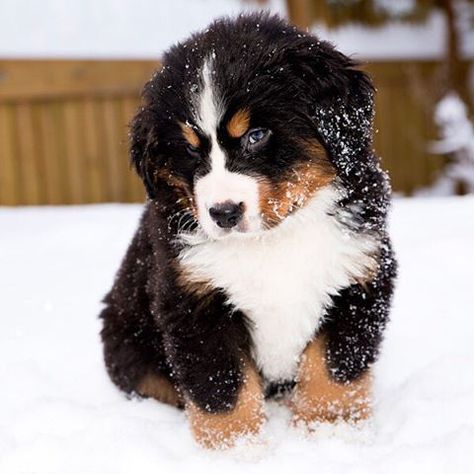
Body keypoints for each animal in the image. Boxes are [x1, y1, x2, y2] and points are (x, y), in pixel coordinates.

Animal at [100, 11, 396, 448]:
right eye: (189, 149)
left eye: (256, 136)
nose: (223, 212)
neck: (272, 240)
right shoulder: (193, 300)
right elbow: (223, 387)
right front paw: (238, 449)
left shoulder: (358, 276)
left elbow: (333, 369)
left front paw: (330, 433)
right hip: (129, 348)